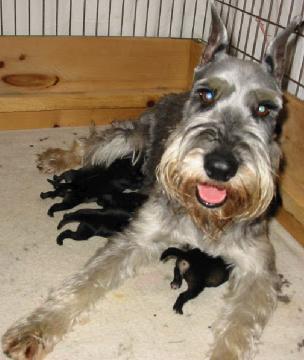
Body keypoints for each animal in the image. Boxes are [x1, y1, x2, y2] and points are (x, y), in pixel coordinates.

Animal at [2, 6, 302, 360]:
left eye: (264, 108)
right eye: (207, 95)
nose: (220, 166)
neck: (205, 216)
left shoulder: (258, 270)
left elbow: (238, 330)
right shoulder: (138, 237)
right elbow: (82, 284)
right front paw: (35, 327)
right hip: (127, 138)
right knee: (90, 145)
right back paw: (56, 157)